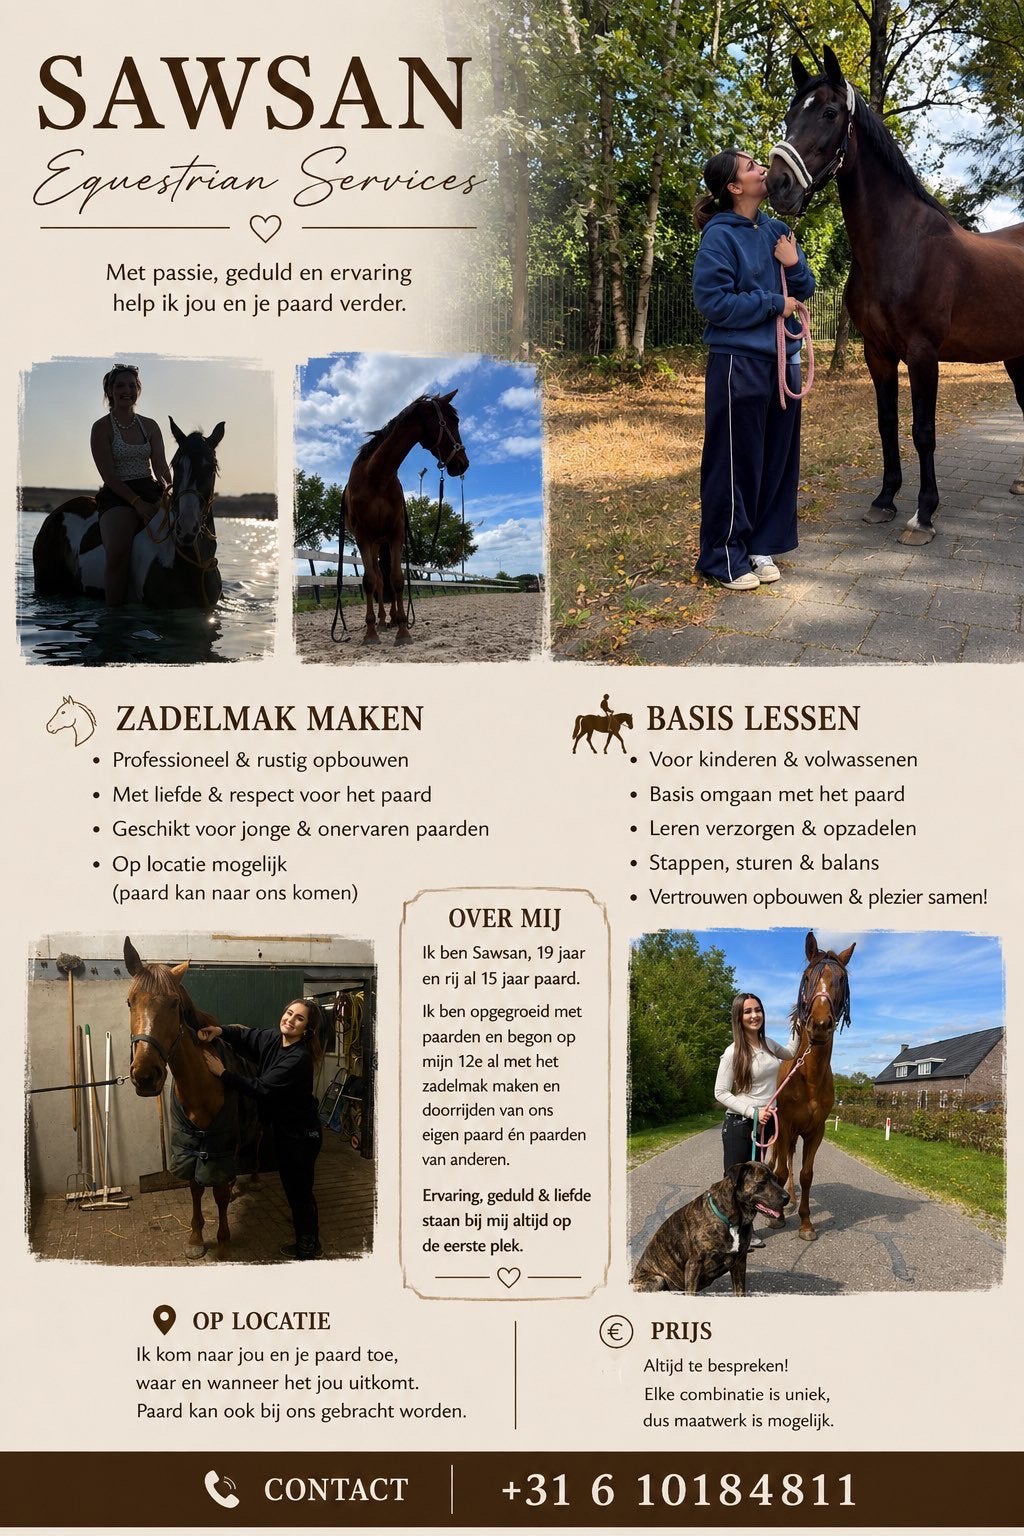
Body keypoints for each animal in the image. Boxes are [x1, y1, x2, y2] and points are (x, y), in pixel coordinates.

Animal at [124, 936, 254, 1259]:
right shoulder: (190, 1145)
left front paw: (223, 1241)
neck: (200, 1086)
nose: (146, 1075)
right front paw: (196, 1238)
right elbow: (196, 1187)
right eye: (130, 1002)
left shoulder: (219, 1146)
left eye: (174, 1003)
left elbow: (218, 1193)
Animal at [343, 391, 469, 644]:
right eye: (453, 420)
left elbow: (398, 580)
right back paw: (381, 622)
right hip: (374, 542)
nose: (463, 463)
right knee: (378, 580)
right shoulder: (363, 537)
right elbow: (369, 581)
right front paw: (370, 633)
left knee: (387, 580)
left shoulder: (396, 534)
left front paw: (403, 630)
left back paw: (391, 619)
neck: (376, 477)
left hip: (382, 541)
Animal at [767, 46, 1024, 545]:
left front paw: (923, 514)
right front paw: (884, 500)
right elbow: (887, 423)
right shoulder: (877, 352)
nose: (778, 185)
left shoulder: (924, 354)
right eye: (790, 115)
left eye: (829, 113)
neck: (900, 245)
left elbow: (922, 430)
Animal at [769, 931, 855, 1242]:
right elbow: (780, 1172)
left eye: (841, 980)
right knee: (775, 1164)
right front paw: (777, 1219)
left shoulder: (815, 1131)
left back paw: (791, 1200)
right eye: (807, 977)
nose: (819, 1024)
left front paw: (805, 1223)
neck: (809, 1078)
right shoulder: (784, 1128)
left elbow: (806, 1174)